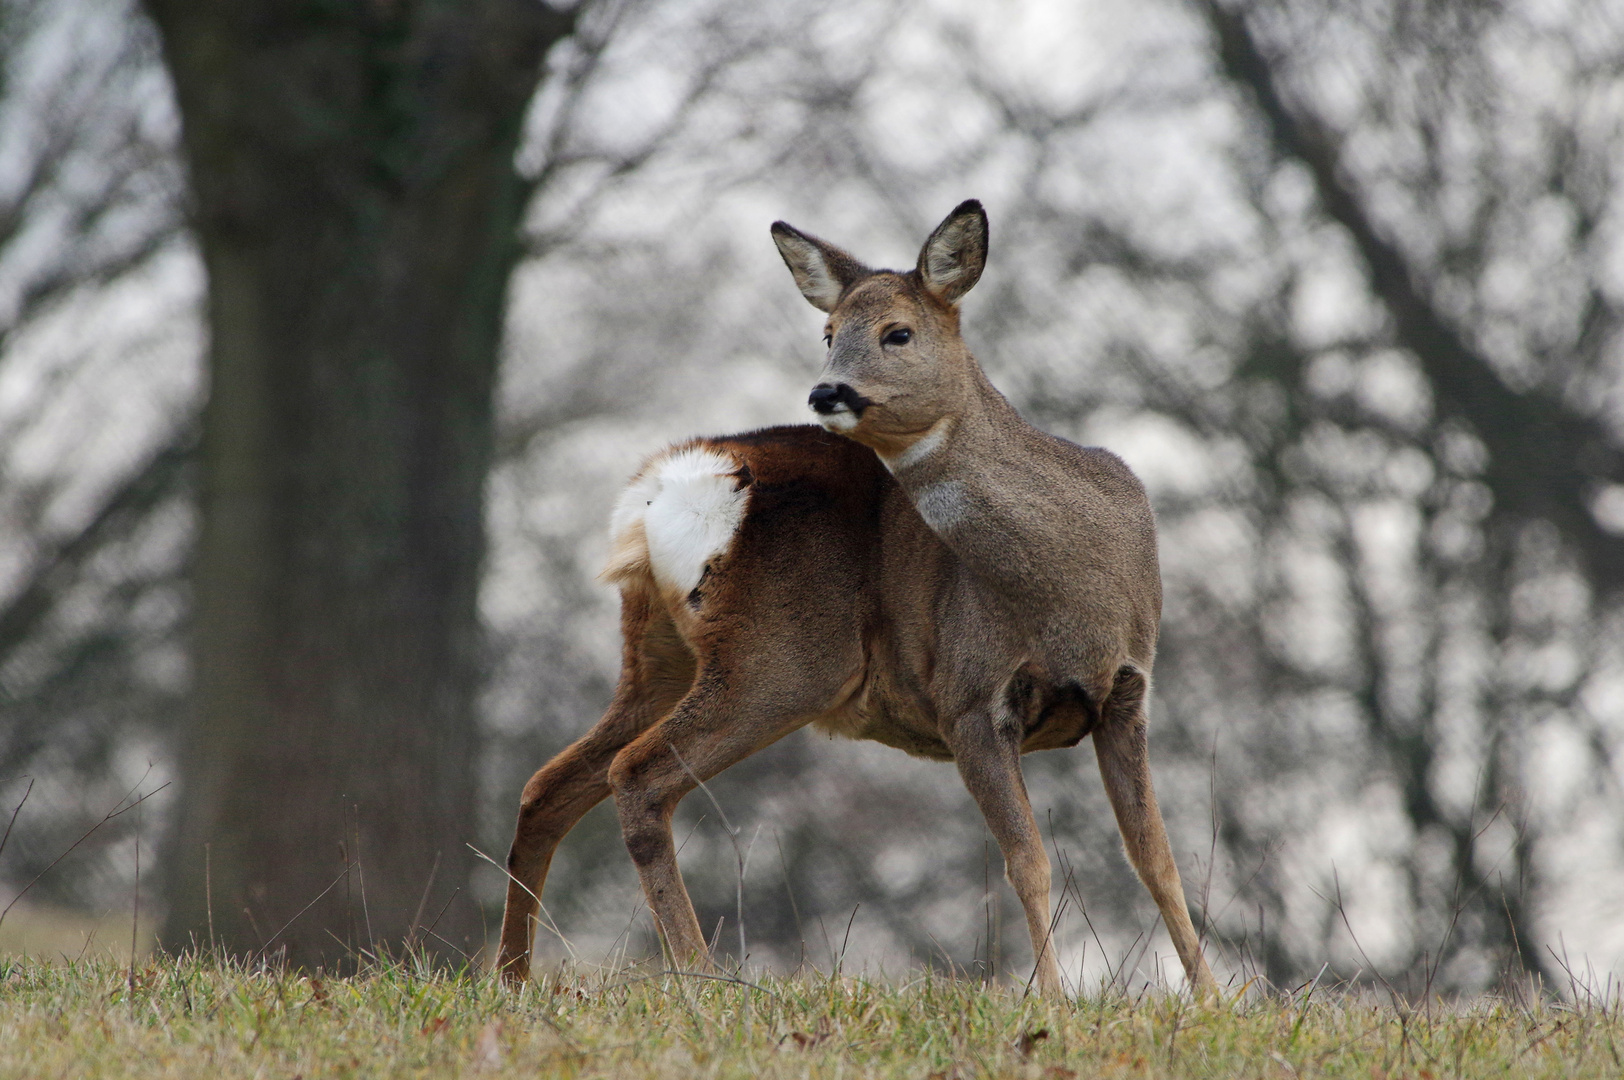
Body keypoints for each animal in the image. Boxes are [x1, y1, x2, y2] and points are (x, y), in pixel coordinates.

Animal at [493, 199, 1221, 993]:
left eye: (896, 332)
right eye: (828, 333)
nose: (826, 391)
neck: (1075, 591)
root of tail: (662, 491)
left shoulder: (1127, 691)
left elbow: (1157, 860)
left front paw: (1211, 997)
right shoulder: (968, 695)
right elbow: (1027, 862)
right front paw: (1053, 1000)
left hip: (658, 655)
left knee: (547, 785)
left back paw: (512, 976)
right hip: (778, 659)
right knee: (637, 776)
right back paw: (699, 976)